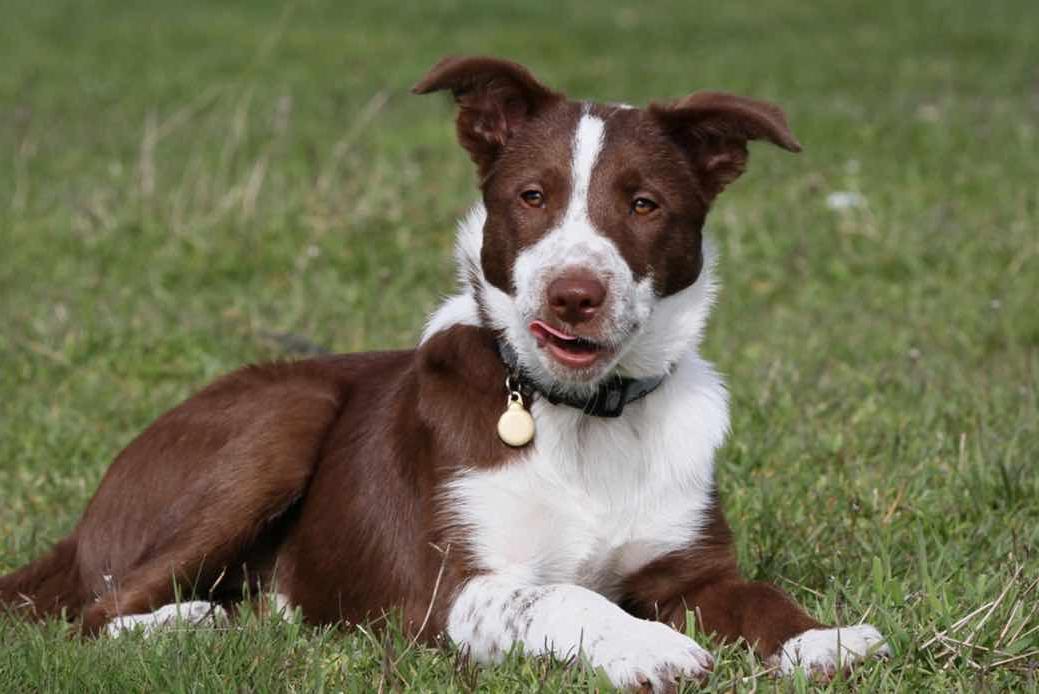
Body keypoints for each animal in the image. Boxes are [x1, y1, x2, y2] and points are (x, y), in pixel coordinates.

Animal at [2, 55, 893, 689]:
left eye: (644, 205)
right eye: (531, 196)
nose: (575, 295)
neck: (582, 416)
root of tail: (81, 523)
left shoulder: (691, 570)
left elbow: (757, 598)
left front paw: (820, 639)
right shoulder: (444, 590)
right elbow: (559, 591)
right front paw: (647, 647)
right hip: (283, 416)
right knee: (97, 614)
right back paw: (201, 621)